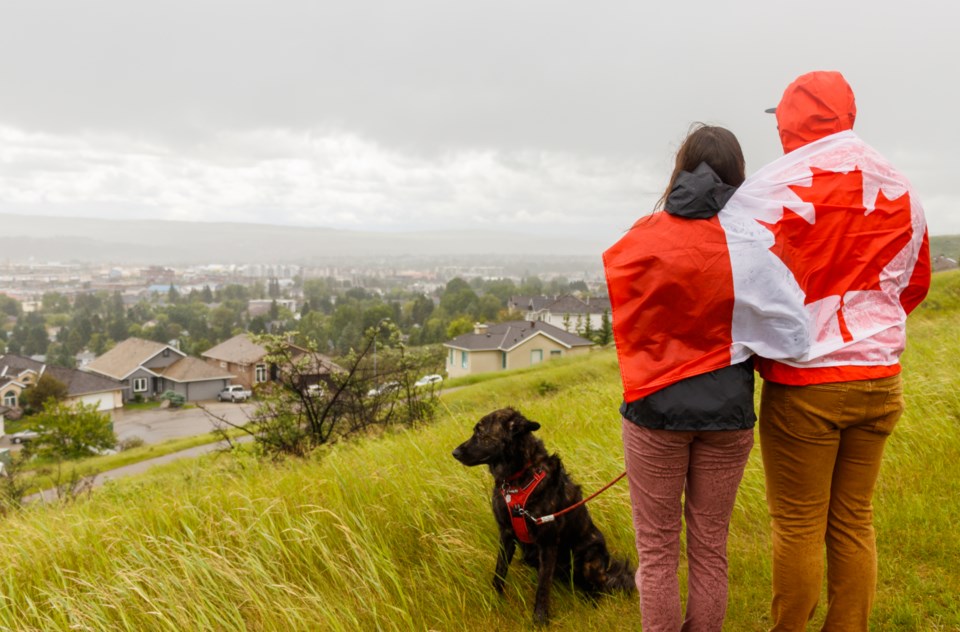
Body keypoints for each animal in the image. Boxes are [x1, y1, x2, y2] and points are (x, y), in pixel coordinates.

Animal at [452, 408, 632, 624]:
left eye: (480, 433)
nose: (454, 453)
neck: (518, 478)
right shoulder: (506, 533)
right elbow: (499, 572)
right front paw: (494, 600)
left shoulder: (547, 542)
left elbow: (542, 588)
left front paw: (539, 621)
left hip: (590, 557)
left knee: (598, 588)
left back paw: (590, 602)